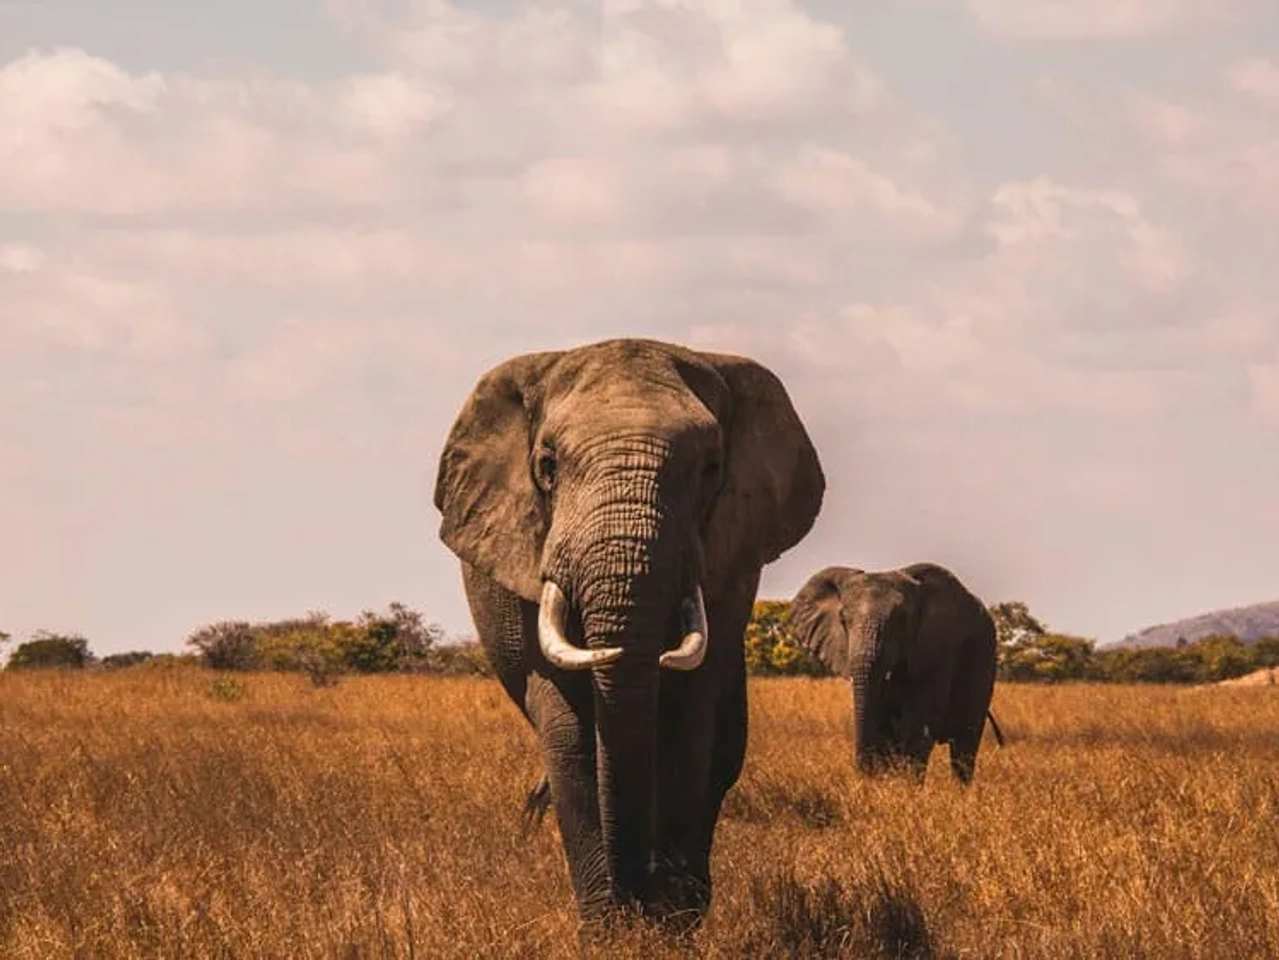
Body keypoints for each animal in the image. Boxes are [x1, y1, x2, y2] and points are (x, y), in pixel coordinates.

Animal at [432, 338, 825, 930]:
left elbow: (689, 722)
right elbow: (569, 731)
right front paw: (610, 930)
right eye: (547, 466)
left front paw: (670, 925)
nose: (638, 895)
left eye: (711, 469)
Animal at [788, 562, 1003, 786]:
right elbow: (885, 728)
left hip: (984, 663)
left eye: (901, 619)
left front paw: (907, 789)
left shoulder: (937, 651)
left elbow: (918, 727)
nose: (863, 774)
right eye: (843, 620)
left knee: (964, 745)